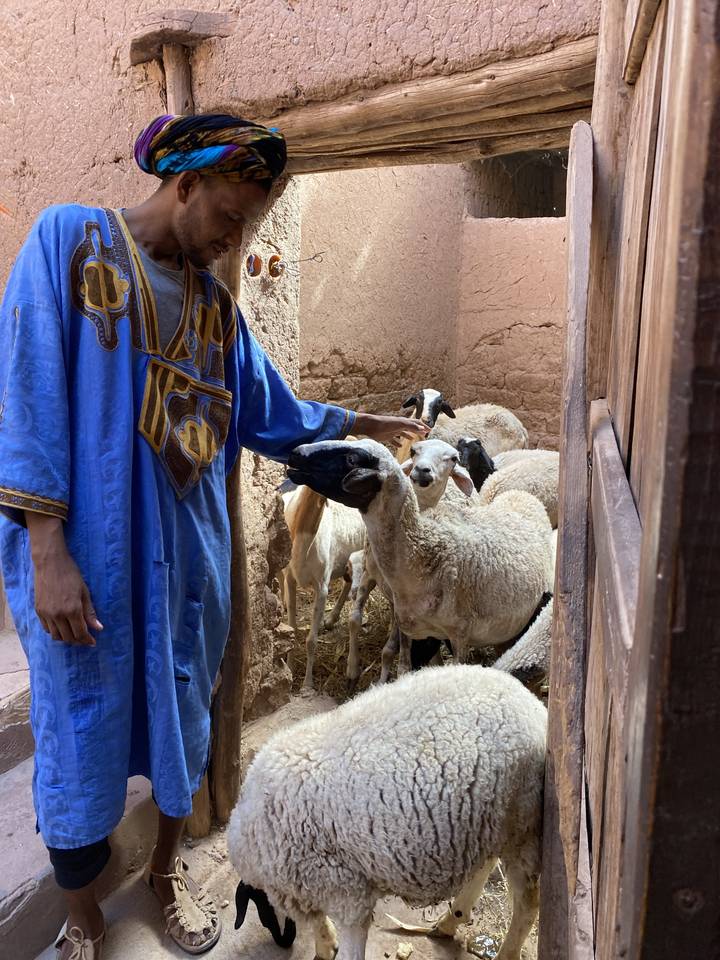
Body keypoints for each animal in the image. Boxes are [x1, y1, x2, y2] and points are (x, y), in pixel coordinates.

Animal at [229, 664, 547, 960]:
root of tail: (534, 707)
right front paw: (325, 943)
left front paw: (326, 945)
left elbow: (345, 942)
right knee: (487, 863)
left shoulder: (344, 890)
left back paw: (505, 950)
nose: (283, 941)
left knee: (528, 905)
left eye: (262, 911)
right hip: (490, 819)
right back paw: (450, 920)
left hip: (523, 828)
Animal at [282, 485, 366, 688]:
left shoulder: (322, 585)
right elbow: (292, 630)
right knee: (348, 583)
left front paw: (307, 684)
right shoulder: (289, 578)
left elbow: (311, 641)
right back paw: (329, 620)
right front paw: (290, 671)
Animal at [287, 439, 553, 663]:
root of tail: (523, 497)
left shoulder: (460, 636)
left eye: (352, 459)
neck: (423, 554)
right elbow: (405, 666)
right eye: (414, 451)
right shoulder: (414, 631)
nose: (296, 452)